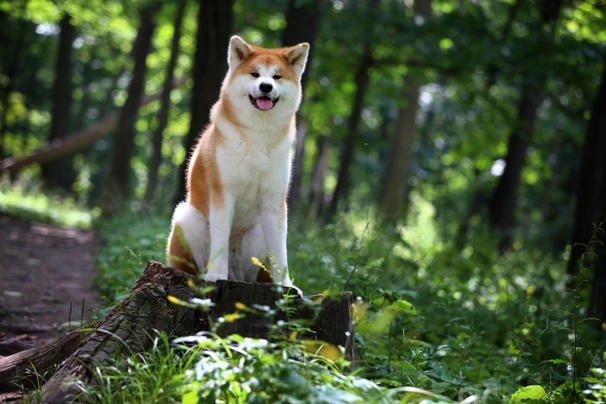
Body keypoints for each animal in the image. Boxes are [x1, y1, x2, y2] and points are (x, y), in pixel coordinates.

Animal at [166, 34, 308, 290]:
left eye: (277, 77)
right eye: (254, 74)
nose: (266, 86)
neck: (258, 135)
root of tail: (236, 277)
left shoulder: (274, 201)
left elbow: (280, 252)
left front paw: (285, 285)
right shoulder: (223, 192)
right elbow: (220, 241)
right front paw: (216, 276)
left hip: (257, 236)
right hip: (186, 217)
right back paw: (209, 274)